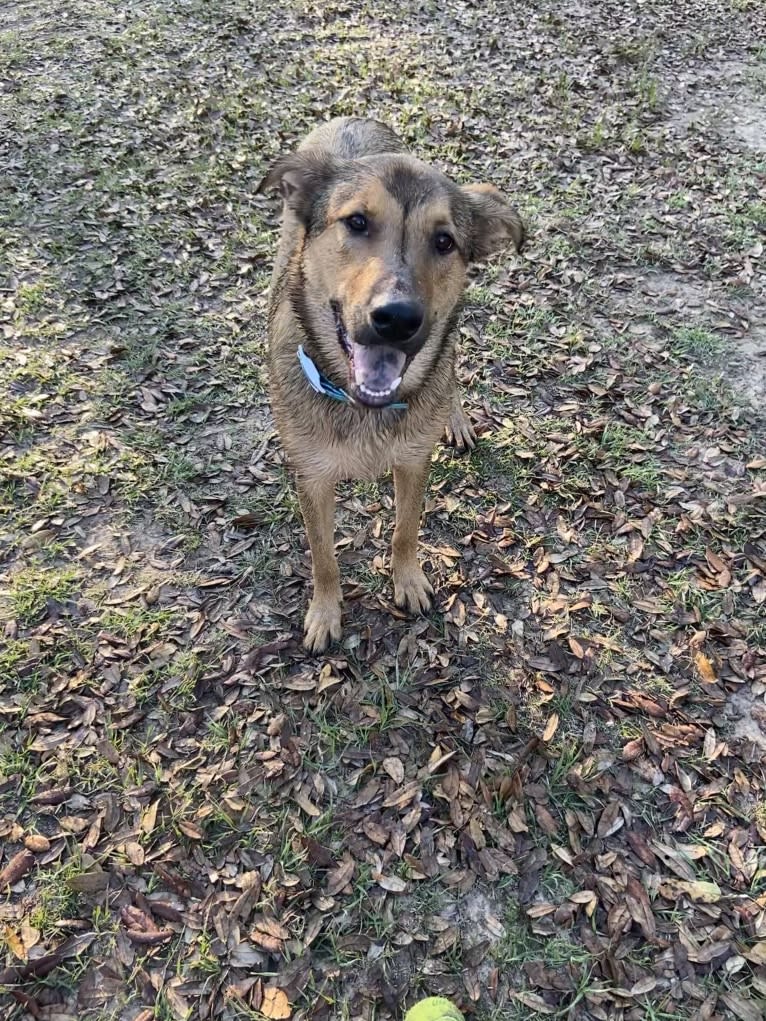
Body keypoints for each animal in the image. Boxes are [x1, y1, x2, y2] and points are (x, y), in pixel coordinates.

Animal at [261, 115, 527, 649]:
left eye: (444, 241)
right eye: (357, 222)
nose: (398, 318)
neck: (365, 406)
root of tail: (352, 119)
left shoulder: (412, 461)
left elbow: (406, 528)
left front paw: (407, 580)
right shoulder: (312, 478)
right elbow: (323, 556)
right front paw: (325, 612)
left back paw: (455, 417)